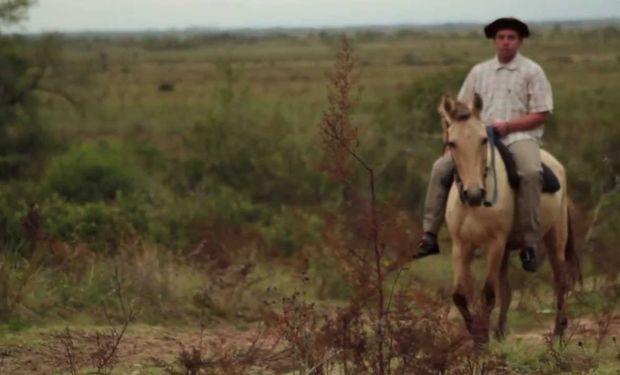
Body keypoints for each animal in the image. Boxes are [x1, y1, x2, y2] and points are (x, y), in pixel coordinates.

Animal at [438, 93, 580, 344]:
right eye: (451, 143)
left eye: (484, 140)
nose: (473, 194)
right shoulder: (461, 246)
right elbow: (460, 295)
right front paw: (476, 333)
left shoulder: (495, 244)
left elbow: (487, 294)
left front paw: (482, 341)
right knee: (507, 291)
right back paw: (501, 332)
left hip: (555, 238)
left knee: (560, 280)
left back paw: (558, 331)